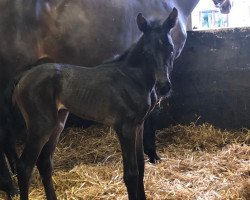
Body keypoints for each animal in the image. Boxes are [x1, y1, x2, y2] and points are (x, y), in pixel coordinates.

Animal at [13, 8, 178, 199]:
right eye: (146, 52)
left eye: (171, 49)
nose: (163, 86)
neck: (132, 78)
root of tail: (23, 77)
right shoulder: (125, 127)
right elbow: (131, 174)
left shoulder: (139, 125)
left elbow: (141, 168)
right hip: (40, 126)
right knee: (24, 166)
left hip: (58, 123)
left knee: (44, 163)